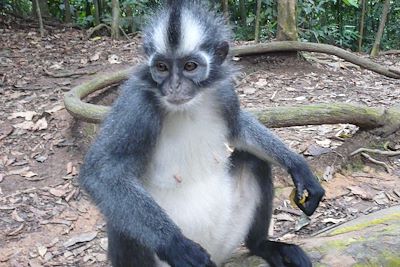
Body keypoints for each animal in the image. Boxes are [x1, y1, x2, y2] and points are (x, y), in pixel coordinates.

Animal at [79, 1, 324, 266]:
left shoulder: (224, 92)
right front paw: (176, 245)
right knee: (118, 213)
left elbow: (238, 129)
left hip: (225, 238)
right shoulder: (135, 104)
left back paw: (263, 245)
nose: (174, 86)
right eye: (162, 68)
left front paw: (298, 166)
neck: (189, 105)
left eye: (190, 66)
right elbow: (101, 174)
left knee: (254, 160)